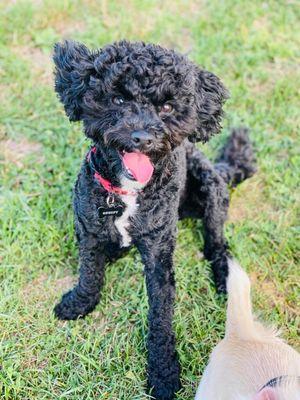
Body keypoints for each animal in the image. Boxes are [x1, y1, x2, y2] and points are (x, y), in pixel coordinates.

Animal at [52, 40, 254, 400]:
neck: (127, 193)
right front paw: (79, 302)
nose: (142, 137)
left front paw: (163, 372)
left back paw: (223, 275)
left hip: (212, 190)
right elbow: (89, 272)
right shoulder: (88, 230)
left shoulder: (159, 254)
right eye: (118, 99)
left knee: (217, 243)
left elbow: (161, 314)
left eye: (167, 107)